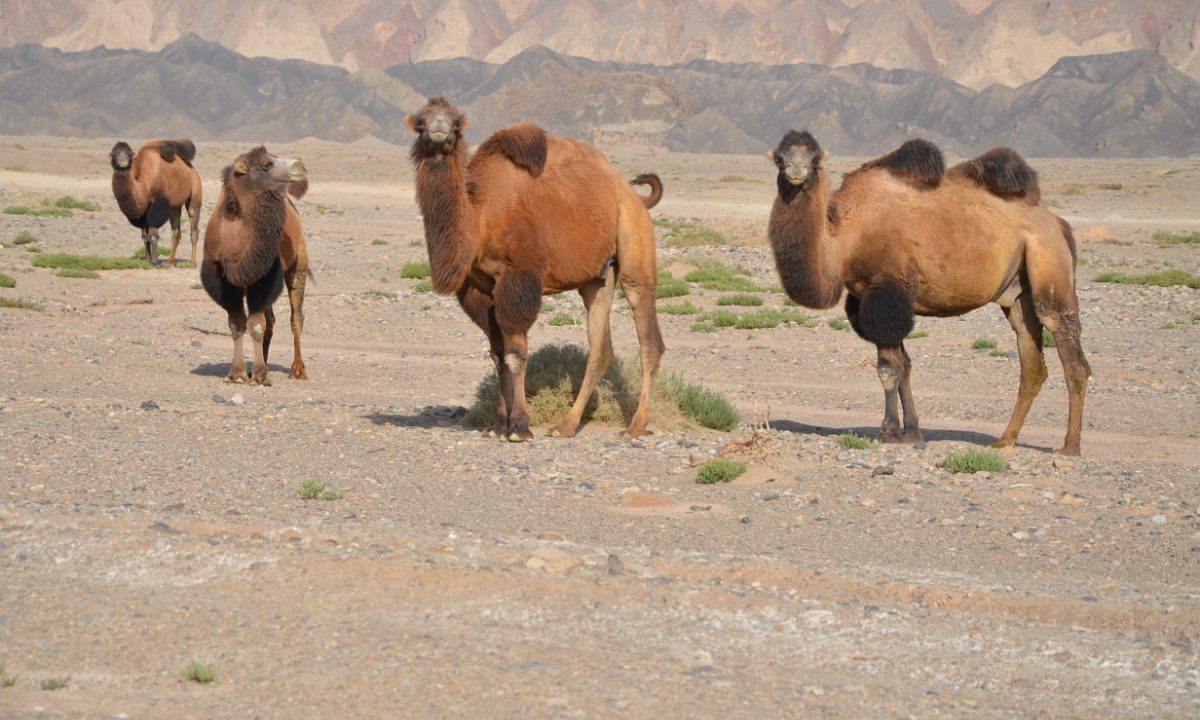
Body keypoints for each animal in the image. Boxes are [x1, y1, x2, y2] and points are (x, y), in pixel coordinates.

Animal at [198, 143, 312, 386]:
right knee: (271, 319)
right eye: (265, 164)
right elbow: (236, 324)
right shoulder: (221, 277)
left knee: (295, 316)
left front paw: (260, 375)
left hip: (298, 263)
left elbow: (256, 325)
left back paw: (297, 370)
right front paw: (238, 373)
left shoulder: (265, 276)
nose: (300, 165)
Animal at [403, 95, 667, 444]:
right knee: (601, 347)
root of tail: (631, 192)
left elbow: (516, 355)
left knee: (647, 331)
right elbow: (497, 355)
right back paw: (565, 425)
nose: (438, 128)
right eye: (420, 120)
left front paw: (519, 428)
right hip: (597, 277)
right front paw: (497, 425)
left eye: (456, 122)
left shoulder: (519, 277)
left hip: (635, 237)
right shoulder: (478, 289)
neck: (479, 216)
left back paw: (635, 426)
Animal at [768, 129, 1089, 453]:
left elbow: (889, 369)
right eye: (780, 158)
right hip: (1017, 292)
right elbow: (905, 367)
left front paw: (888, 432)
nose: (795, 169)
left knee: (1069, 351)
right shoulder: (872, 301)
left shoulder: (888, 292)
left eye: (815, 160)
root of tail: (1056, 222)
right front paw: (911, 432)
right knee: (1031, 361)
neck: (847, 234)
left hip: (1047, 258)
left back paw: (1070, 447)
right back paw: (1004, 440)